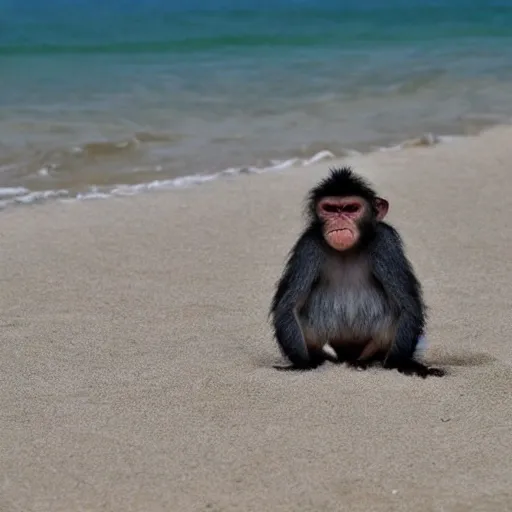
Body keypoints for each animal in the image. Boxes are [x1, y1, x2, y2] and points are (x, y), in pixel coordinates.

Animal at [268, 166, 444, 378]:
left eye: (351, 208)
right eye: (330, 209)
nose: (338, 220)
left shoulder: (385, 242)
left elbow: (407, 306)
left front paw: (403, 364)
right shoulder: (308, 246)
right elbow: (289, 307)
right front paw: (303, 364)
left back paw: (363, 363)